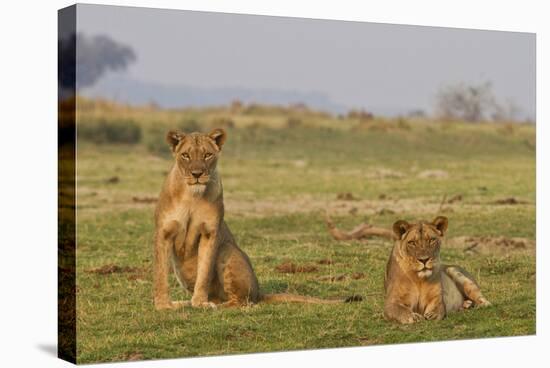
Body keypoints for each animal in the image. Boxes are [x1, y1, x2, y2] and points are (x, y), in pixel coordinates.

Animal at [155, 128, 362, 310]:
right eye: (185, 155)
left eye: (207, 155)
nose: (197, 174)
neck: (192, 196)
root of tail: (260, 292)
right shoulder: (164, 233)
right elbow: (161, 272)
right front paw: (164, 305)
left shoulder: (210, 233)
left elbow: (204, 272)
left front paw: (200, 303)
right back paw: (184, 303)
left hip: (227, 250)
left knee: (242, 301)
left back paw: (214, 306)